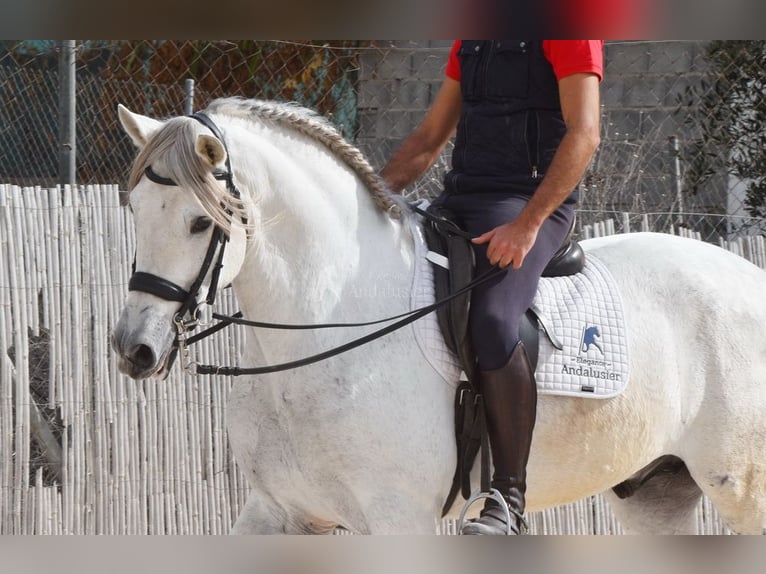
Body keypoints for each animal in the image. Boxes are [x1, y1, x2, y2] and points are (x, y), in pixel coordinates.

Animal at [111, 97, 766, 534]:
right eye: (134, 209)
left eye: (201, 222)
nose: (133, 349)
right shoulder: (277, 512)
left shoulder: (397, 518)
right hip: (657, 494)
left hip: (742, 492)